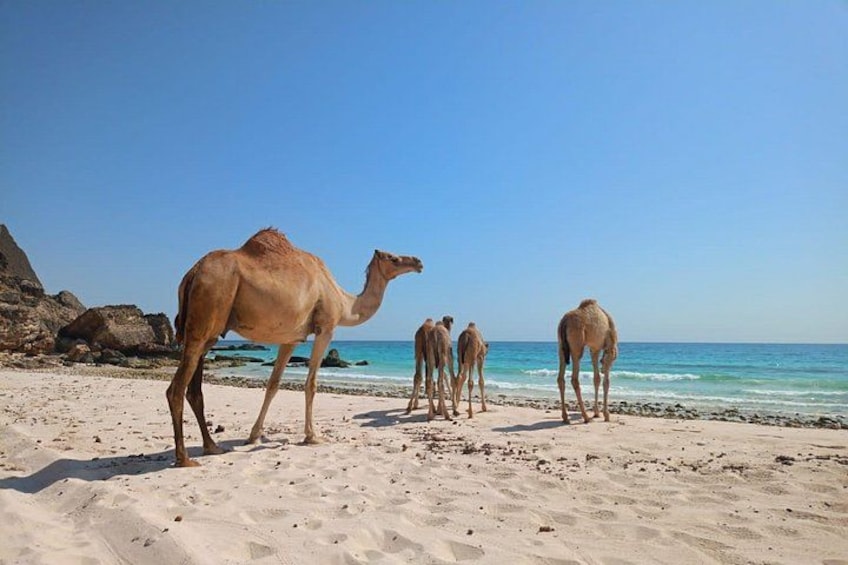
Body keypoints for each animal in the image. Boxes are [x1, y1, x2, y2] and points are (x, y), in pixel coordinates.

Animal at [166, 228, 422, 467]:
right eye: (393, 258)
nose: (418, 262)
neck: (343, 301)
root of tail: (193, 272)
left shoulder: (290, 338)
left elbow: (273, 384)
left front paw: (254, 436)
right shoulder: (325, 328)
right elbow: (311, 384)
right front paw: (312, 436)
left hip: (207, 331)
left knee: (194, 389)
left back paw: (212, 446)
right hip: (208, 309)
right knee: (176, 389)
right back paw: (184, 458)